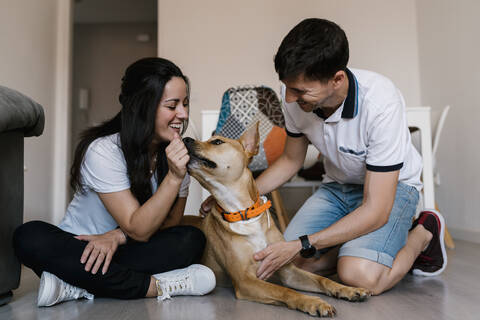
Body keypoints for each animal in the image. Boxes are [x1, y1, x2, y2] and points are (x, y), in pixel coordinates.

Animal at [182, 124, 370, 316]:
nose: (185, 139)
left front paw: (347, 289)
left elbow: (321, 280)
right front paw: (313, 302)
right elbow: (284, 290)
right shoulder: (244, 280)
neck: (244, 213)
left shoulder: (287, 270)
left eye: (217, 142)